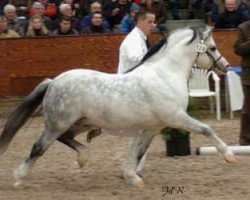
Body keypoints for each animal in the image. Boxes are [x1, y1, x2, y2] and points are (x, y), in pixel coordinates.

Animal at [0, 25, 236, 188]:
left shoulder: (151, 128)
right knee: (38, 147)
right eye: (213, 47)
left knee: (66, 138)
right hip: (57, 124)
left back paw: (83, 158)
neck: (164, 75)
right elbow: (207, 129)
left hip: (80, 123)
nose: (225, 66)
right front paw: (229, 155)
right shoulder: (176, 117)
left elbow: (138, 153)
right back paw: (19, 179)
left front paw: (132, 177)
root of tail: (53, 82)